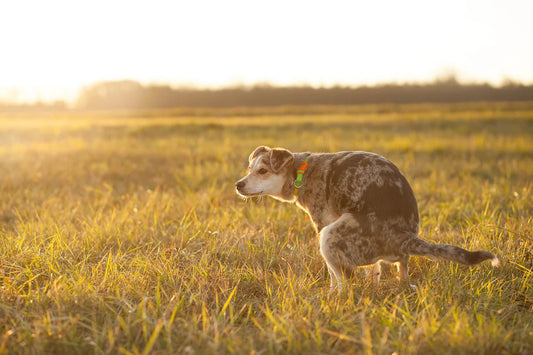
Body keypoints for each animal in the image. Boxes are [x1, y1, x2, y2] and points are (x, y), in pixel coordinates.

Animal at [234, 146, 498, 290]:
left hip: (330, 236)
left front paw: (330, 295)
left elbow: (333, 276)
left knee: (346, 282)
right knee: (400, 272)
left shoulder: (323, 223)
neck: (301, 171)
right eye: (249, 169)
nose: (238, 184)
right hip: (392, 257)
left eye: (263, 171)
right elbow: (374, 271)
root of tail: (405, 237)